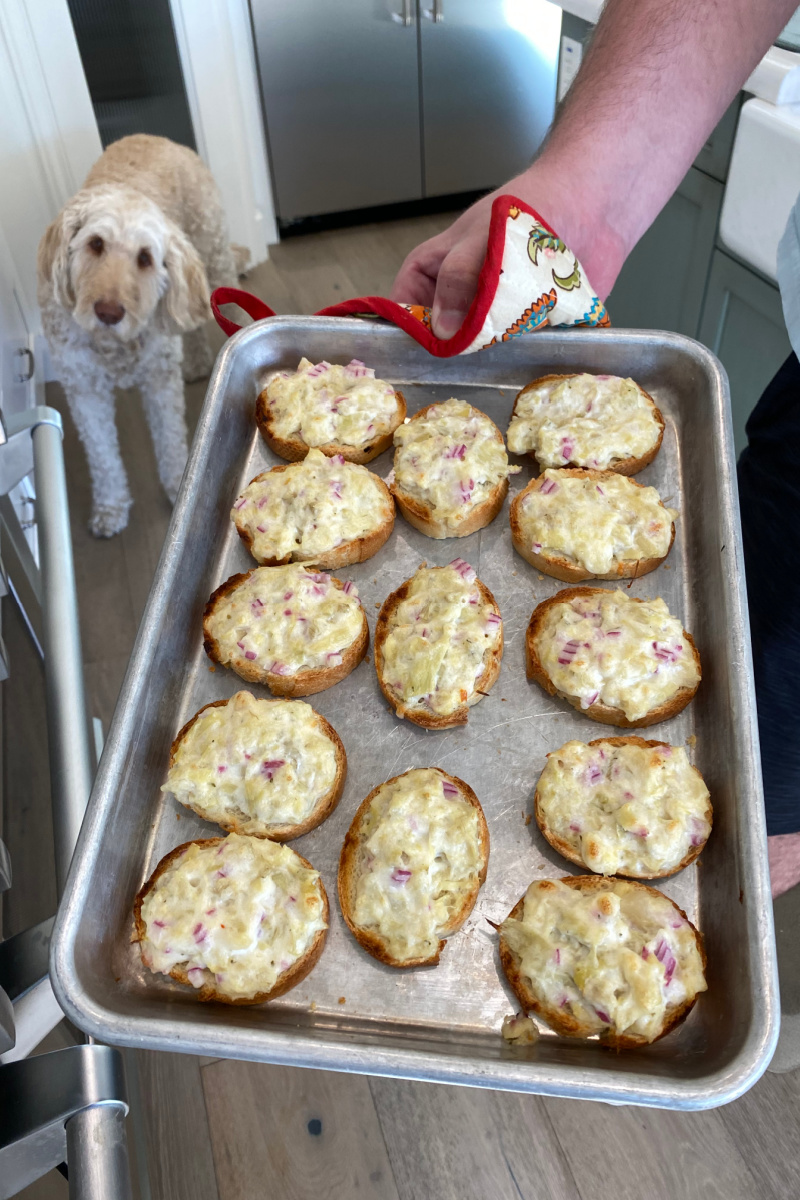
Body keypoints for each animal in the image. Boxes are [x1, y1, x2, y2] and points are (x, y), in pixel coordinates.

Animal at [37, 131, 237, 535]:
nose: (108, 312)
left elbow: (170, 440)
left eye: (145, 257)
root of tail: (152, 136)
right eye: (95, 243)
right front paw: (111, 506)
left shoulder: (158, 378)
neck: (114, 345)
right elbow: (102, 454)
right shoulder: (84, 388)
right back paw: (197, 362)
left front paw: (178, 486)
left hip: (212, 247)